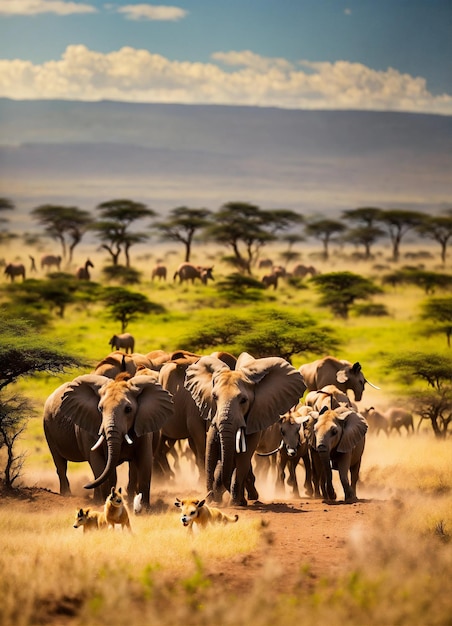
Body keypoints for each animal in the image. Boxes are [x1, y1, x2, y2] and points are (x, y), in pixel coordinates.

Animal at [42, 370, 173, 508]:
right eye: (100, 409)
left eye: (128, 409)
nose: (85, 486)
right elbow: (98, 463)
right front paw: (104, 504)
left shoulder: (143, 426)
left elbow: (144, 462)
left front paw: (144, 509)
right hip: (48, 428)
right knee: (61, 464)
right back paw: (69, 495)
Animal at [185, 352, 308, 502]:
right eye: (214, 397)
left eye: (243, 400)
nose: (211, 496)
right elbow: (212, 451)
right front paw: (213, 499)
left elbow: (243, 455)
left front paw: (235, 502)